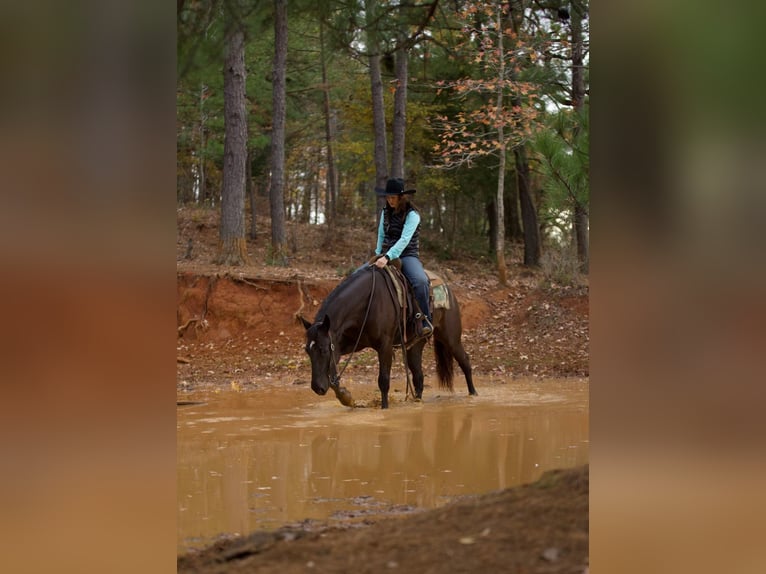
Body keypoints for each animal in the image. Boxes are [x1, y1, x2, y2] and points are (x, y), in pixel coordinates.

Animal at [302, 266, 476, 410]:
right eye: (308, 351)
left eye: (323, 350)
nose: (317, 388)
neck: (367, 302)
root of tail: (448, 289)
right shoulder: (345, 344)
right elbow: (333, 378)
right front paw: (347, 398)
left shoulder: (384, 346)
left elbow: (383, 381)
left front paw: (384, 408)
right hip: (416, 345)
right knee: (418, 377)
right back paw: (417, 401)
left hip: (451, 338)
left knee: (465, 361)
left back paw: (473, 394)